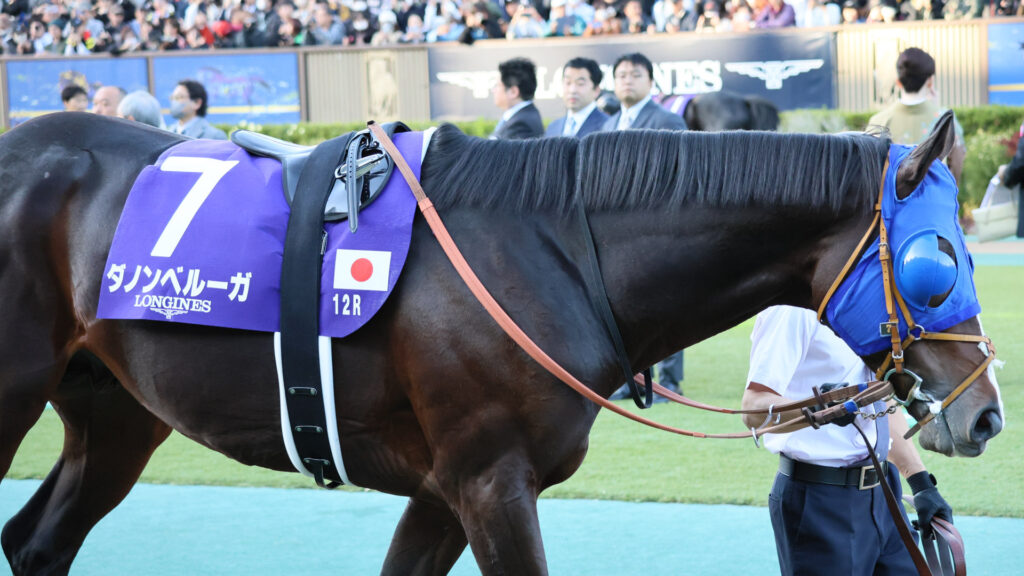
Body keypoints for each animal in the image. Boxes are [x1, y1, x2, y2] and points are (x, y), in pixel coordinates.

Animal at [0, 111, 1003, 576]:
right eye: (937, 262)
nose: (987, 414)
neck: (550, 246)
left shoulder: (444, 489)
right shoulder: (490, 482)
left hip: (116, 411)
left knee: (37, 540)